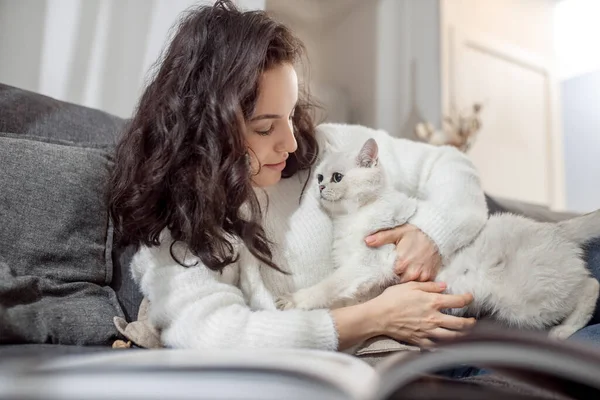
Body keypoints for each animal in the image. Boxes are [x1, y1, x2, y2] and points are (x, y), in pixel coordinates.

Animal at [278, 138, 600, 340]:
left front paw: (294, 300)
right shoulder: (363, 281)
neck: (350, 219)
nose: (319, 188)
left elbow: (327, 286)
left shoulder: (367, 263)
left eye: (337, 177)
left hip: (528, 304)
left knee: (590, 285)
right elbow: (348, 300)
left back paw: (562, 331)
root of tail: (555, 228)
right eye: (320, 177)